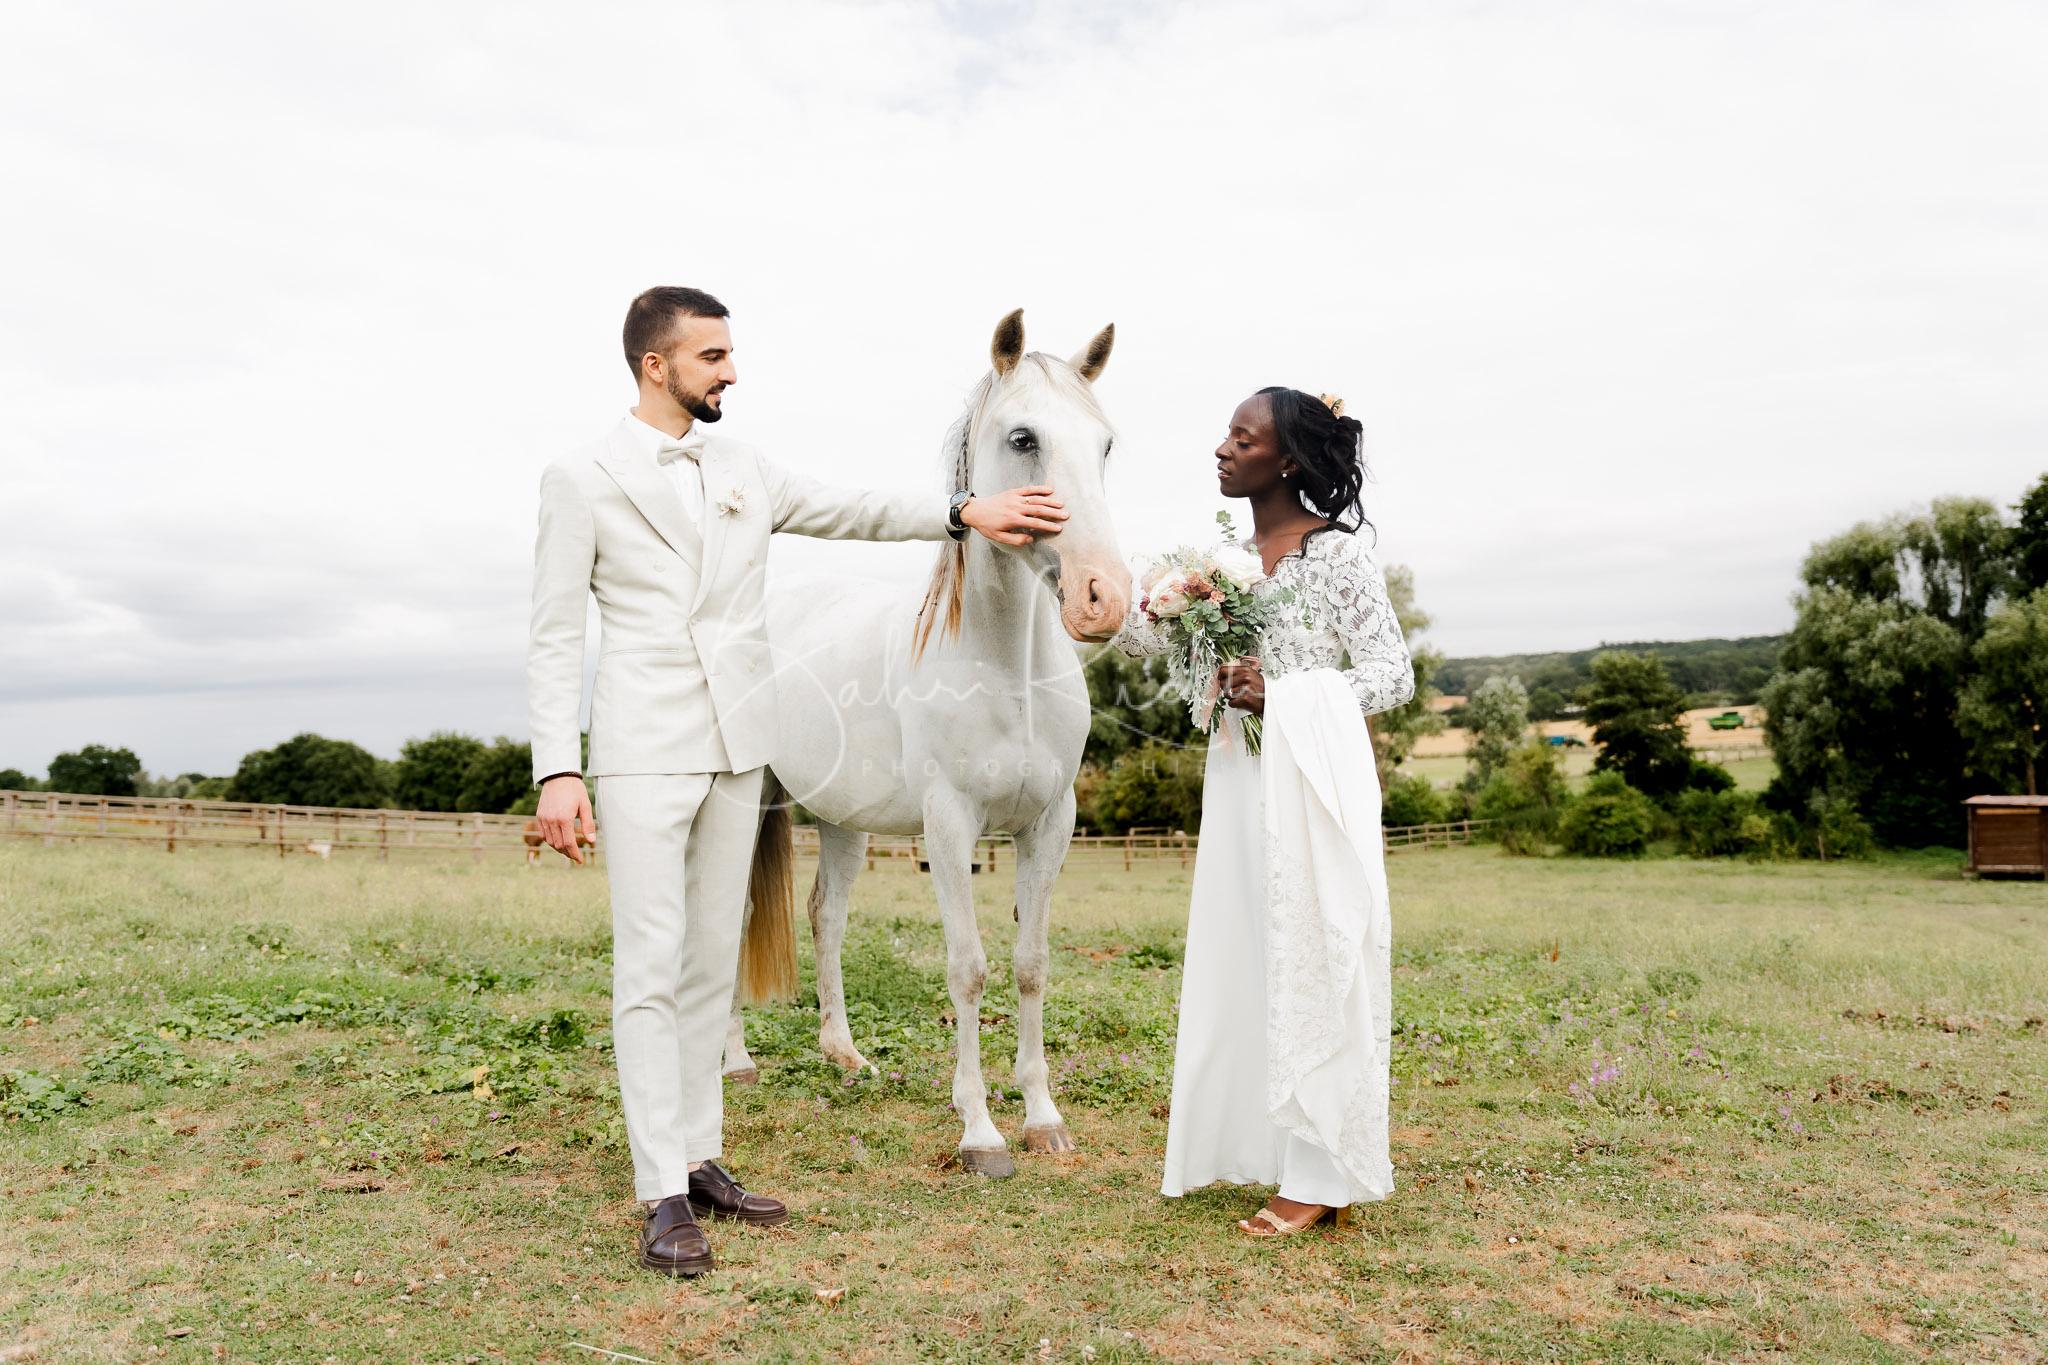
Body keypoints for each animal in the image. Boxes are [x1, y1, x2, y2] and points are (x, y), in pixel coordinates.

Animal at [727, 310, 1131, 1176]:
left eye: (1106, 443)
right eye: (1022, 437)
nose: (1104, 597)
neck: (1006, 667)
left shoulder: (1050, 824)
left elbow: (1031, 964)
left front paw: (1043, 1117)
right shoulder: (949, 826)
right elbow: (969, 968)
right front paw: (979, 1130)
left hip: (840, 821)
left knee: (825, 915)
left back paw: (844, 1055)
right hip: (748, 805)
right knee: (728, 918)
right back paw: (734, 1060)